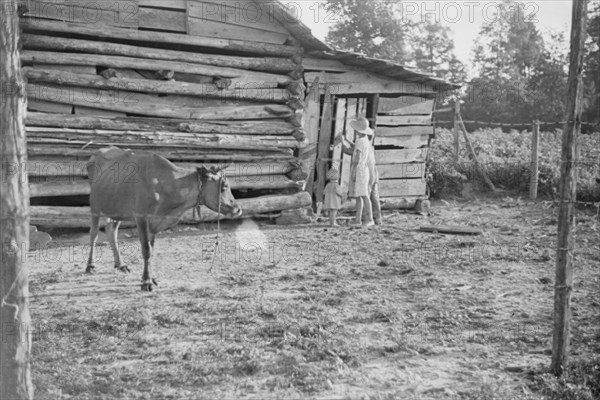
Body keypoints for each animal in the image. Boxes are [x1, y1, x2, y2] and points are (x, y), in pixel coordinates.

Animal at [86, 147, 241, 290]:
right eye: (224, 186)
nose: (238, 209)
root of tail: (100, 151)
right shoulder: (141, 216)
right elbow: (146, 250)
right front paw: (146, 282)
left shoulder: (154, 222)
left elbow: (151, 249)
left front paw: (151, 277)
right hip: (94, 204)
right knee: (93, 234)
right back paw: (90, 266)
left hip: (116, 208)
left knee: (112, 231)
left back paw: (120, 264)